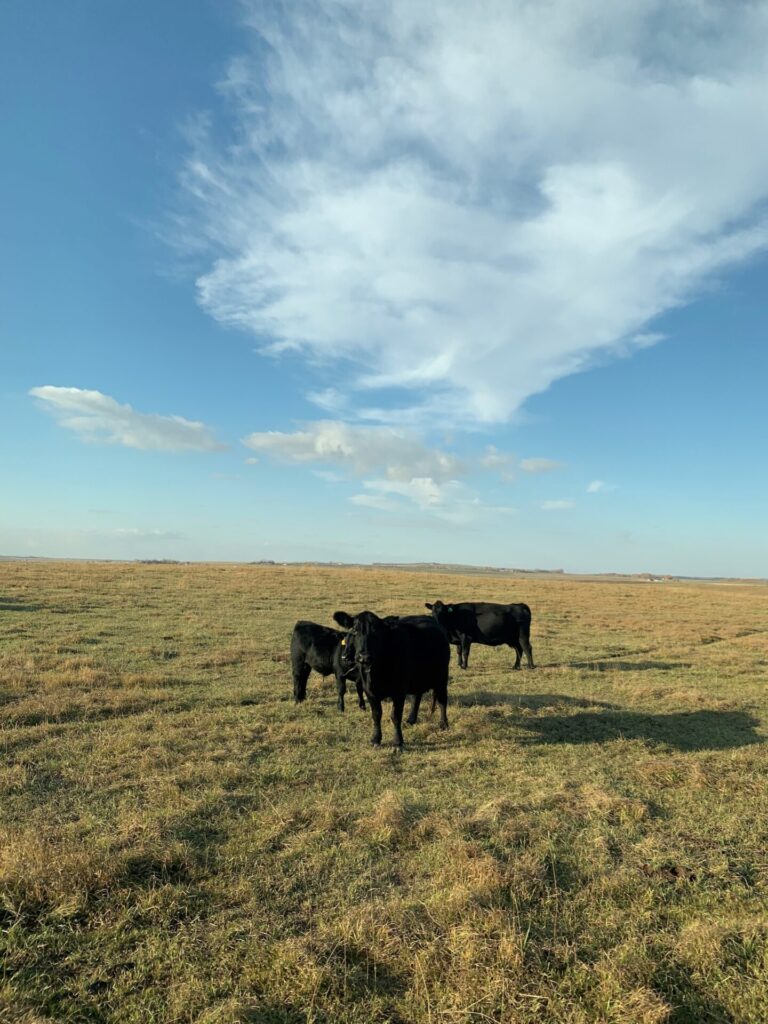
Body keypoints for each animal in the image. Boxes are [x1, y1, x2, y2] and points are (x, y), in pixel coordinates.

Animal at [331, 610, 450, 749]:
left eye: (376, 631)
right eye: (355, 630)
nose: (364, 657)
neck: (377, 673)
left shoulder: (399, 691)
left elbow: (395, 716)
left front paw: (398, 742)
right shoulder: (369, 691)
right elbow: (376, 715)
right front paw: (376, 739)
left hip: (442, 677)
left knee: (442, 700)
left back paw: (443, 724)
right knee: (416, 697)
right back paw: (411, 719)